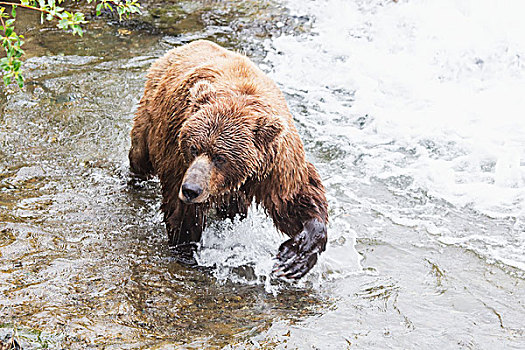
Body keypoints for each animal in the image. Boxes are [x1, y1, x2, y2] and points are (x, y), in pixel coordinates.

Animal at [130, 39, 328, 278]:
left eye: (220, 157)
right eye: (193, 148)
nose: (191, 189)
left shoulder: (275, 163)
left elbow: (294, 198)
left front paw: (296, 255)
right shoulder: (177, 157)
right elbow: (182, 214)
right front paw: (188, 251)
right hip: (151, 119)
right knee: (140, 156)